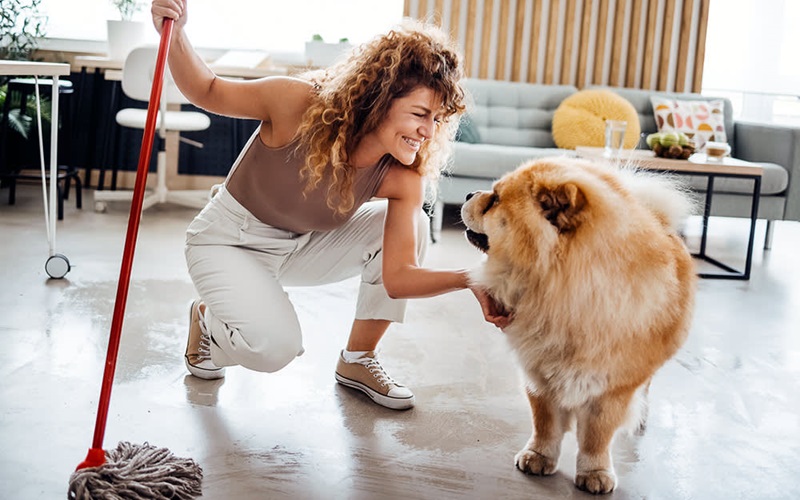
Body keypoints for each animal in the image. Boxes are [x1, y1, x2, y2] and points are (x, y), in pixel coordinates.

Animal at [462, 158, 692, 494]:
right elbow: (545, 423)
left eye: (494, 200)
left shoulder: (611, 389)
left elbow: (596, 436)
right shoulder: (539, 373)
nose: (468, 193)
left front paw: (595, 473)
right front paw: (538, 457)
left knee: (645, 390)